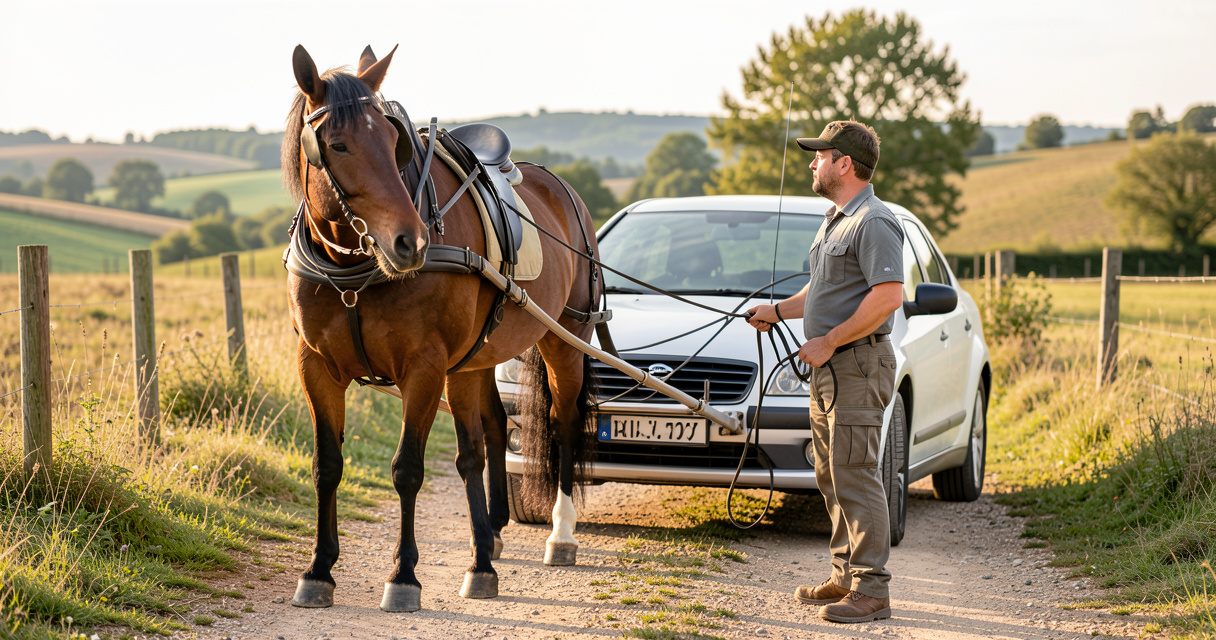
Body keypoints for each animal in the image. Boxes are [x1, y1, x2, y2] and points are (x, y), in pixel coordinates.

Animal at [281, 44, 599, 612]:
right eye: (336, 145)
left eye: (394, 143)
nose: (410, 242)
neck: (354, 268)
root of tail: (564, 190)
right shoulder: (316, 366)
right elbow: (327, 466)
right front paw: (319, 569)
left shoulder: (424, 368)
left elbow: (408, 468)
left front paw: (404, 576)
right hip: (477, 358)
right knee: (487, 434)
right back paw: (487, 540)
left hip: (564, 338)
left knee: (561, 425)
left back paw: (559, 535)